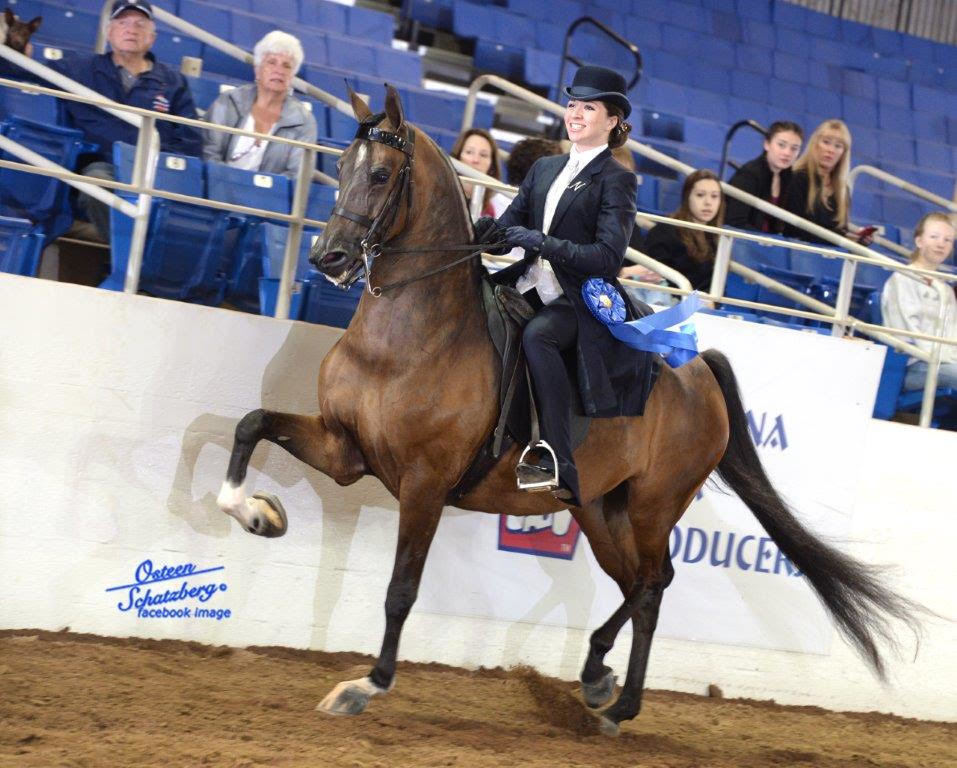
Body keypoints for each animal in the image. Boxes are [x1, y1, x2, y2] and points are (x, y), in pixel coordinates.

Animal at [217, 85, 919, 735]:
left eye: (383, 174)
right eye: (339, 166)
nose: (327, 259)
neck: (410, 337)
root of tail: (697, 370)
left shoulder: (424, 483)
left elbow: (400, 590)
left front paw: (365, 685)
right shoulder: (345, 449)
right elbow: (251, 424)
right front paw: (258, 513)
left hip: (654, 504)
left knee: (652, 583)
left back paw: (614, 696)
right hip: (601, 508)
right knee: (641, 583)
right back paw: (602, 681)